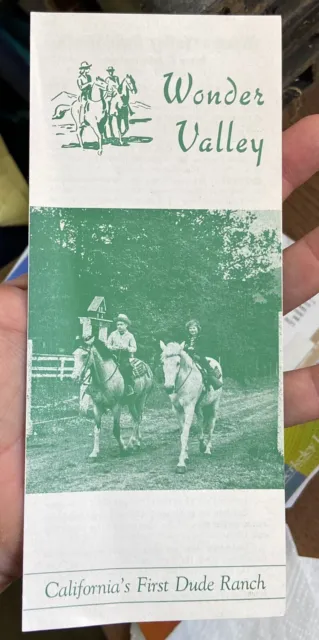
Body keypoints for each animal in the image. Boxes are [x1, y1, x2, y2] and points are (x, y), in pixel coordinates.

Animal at [161, 342, 224, 472]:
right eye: (163, 363)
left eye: (178, 363)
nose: (169, 387)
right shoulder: (177, 410)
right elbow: (182, 432)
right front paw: (185, 455)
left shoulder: (189, 408)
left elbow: (185, 434)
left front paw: (181, 463)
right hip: (199, 407)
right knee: (201, 422)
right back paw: (202, 445)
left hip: (214, 405)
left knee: (211, 426)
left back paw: (207, 449)